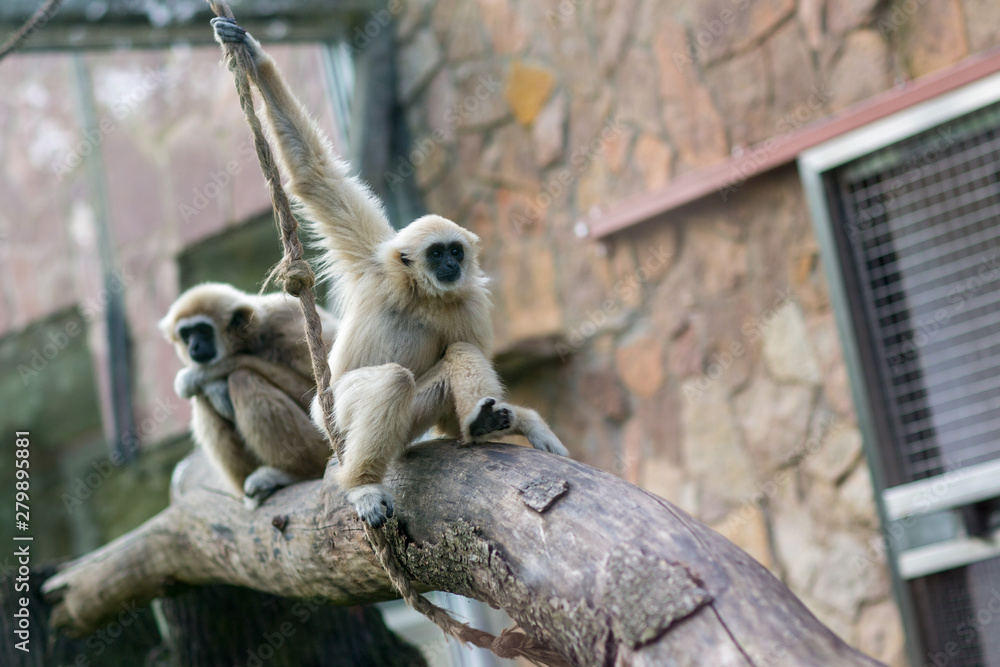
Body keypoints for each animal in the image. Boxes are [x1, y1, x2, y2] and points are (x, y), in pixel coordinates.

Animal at [160, 282, 339, 508]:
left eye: (203, 330)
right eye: (186, 334)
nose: (194, 346)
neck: (253, 336)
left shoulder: (288, 324)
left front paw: (198, 376)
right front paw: (213, 386)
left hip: (320, 445)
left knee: (241, 379)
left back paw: (292, 475)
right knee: (203, 399)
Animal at [213, 18, 568, 527]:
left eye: (456, 252)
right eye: (437, 253)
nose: (451, 264)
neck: (421, 294)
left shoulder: (469, 303)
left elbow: (458, 380)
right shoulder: (373, 264)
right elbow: (316, 176)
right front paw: (253, 56)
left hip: (406, 422)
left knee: (456, 356)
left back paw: (480, 423)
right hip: (333, 415)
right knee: (392, 381)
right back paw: (362, 483)